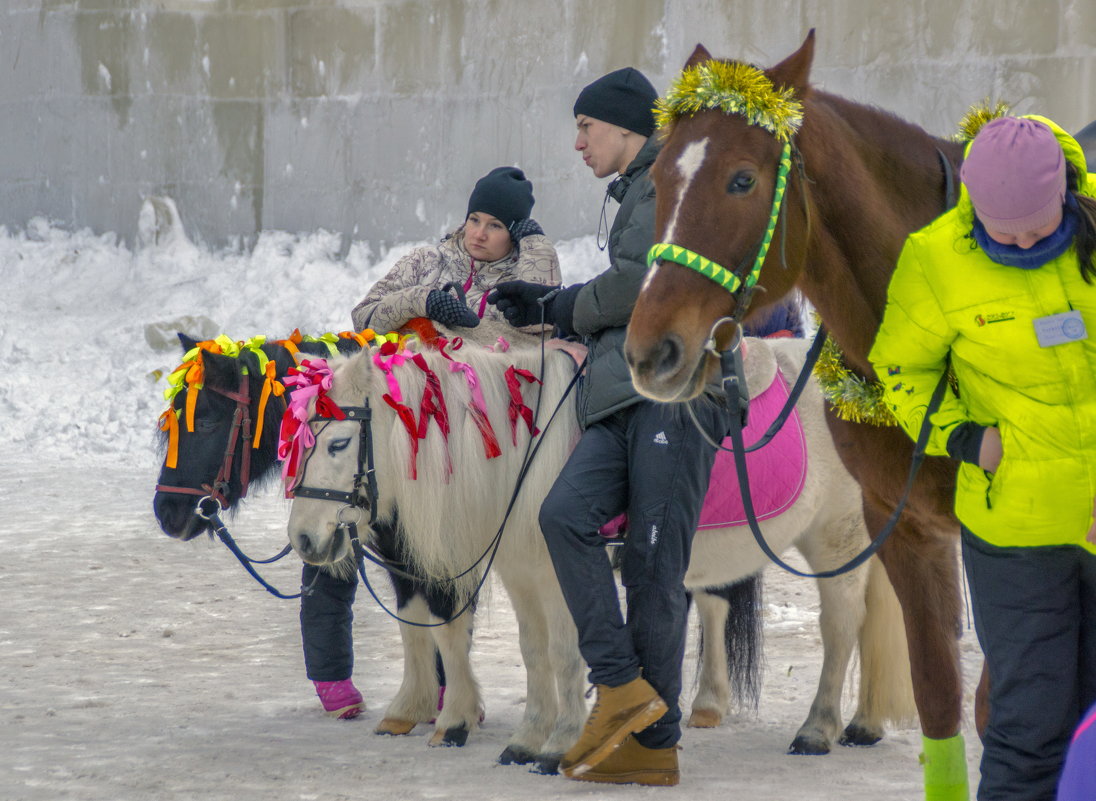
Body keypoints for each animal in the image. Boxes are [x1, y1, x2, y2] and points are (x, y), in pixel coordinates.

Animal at [284, 324, 916, 771]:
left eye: (338, 442)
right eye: (299, 440)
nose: (303, 539)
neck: (525, 452)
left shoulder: (560, 568)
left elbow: (566, 652)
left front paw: (558, 743)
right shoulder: (522, 573)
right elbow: (534, 651)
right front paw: (526, 739)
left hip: (837, 537)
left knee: (842, 626)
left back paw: (818, 729)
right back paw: (857, 723)